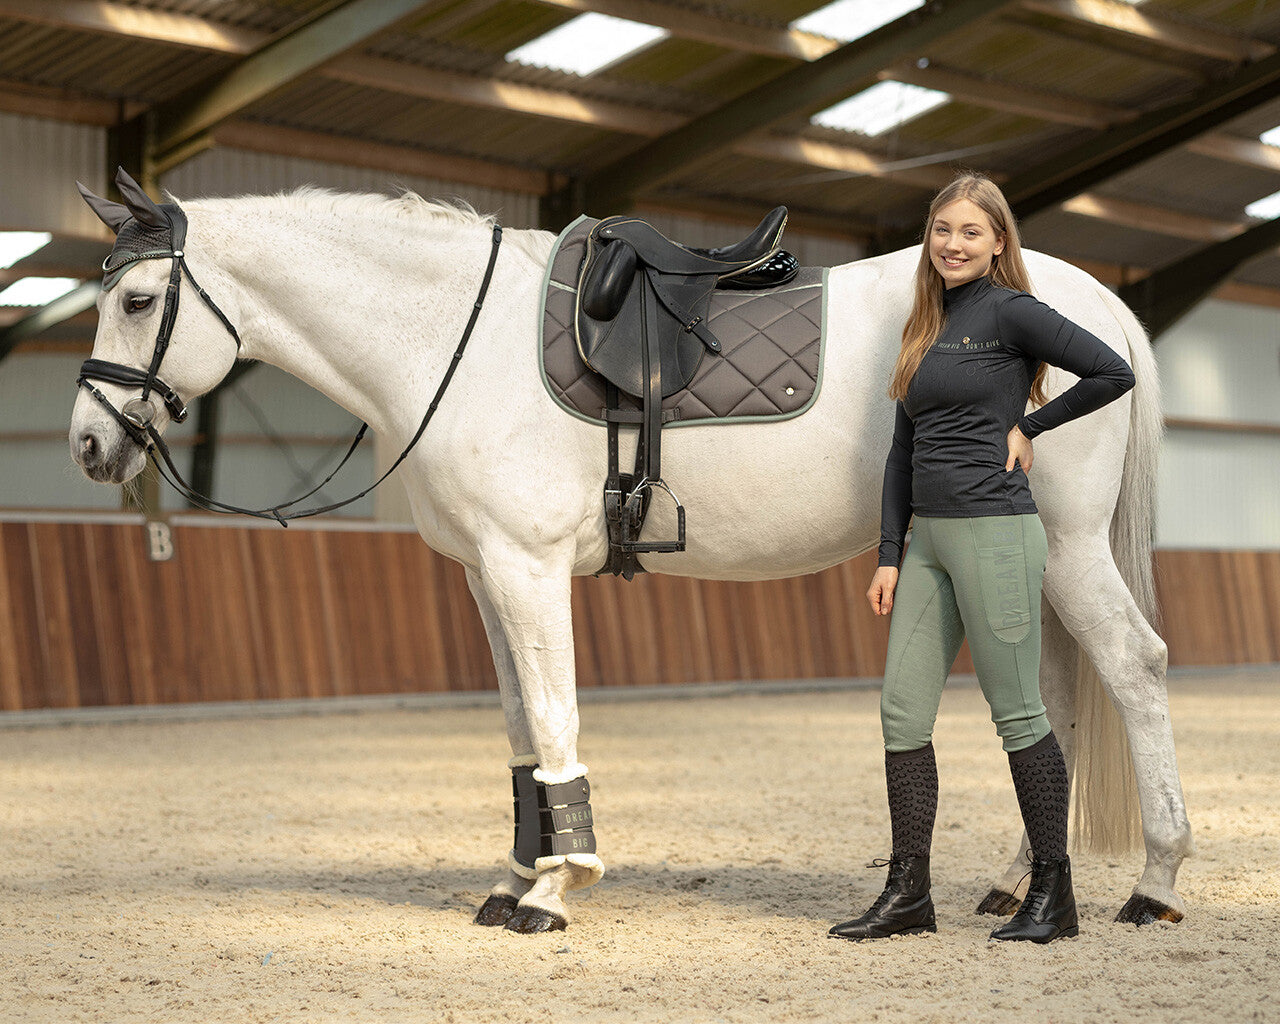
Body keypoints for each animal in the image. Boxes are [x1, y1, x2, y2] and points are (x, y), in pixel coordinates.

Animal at [69, 179, 1193, 934]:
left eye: (135, 302)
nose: (86, 445)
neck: (452, 339)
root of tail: (1095, 305)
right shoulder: (484, 574)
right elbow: (520, 730)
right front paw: (514, 877)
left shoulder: (524, 568)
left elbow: (555, 714)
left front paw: (557, 888)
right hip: (1032, 560)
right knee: (1057, 692)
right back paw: (1017, 880)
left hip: (1065, 550)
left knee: (1133, 669)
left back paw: (1154, 880)